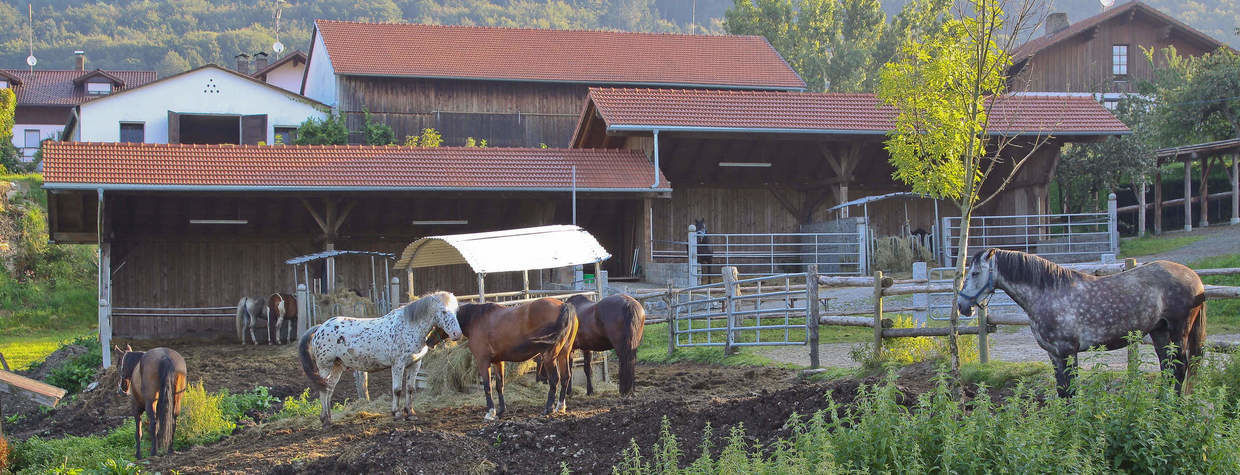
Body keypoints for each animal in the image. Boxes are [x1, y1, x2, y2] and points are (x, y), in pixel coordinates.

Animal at [297, 292, 463, 426]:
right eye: (443, 311)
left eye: (456, 311)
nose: (457, 334)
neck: (409, 327)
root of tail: (319, 328)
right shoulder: (398, 365)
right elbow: (397, 390)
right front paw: (397, 413)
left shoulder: (415, 364)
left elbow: (410, 389)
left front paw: (410, 413)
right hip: (325, 367)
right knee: (323, 390)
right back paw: (325, 420)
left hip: (337, 366)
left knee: (329, 389)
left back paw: (329, 419)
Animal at [952, 249, 1205, 396]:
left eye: (975, 273)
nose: (963, 306)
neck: (1048, 293)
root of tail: (1195, 279)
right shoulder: (1054, 354)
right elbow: (1062, 391)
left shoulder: (1067, 351)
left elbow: (1071, 391)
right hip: (1159, 331)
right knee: (1168, 368)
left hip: (1178, 330)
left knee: (1180, 367)